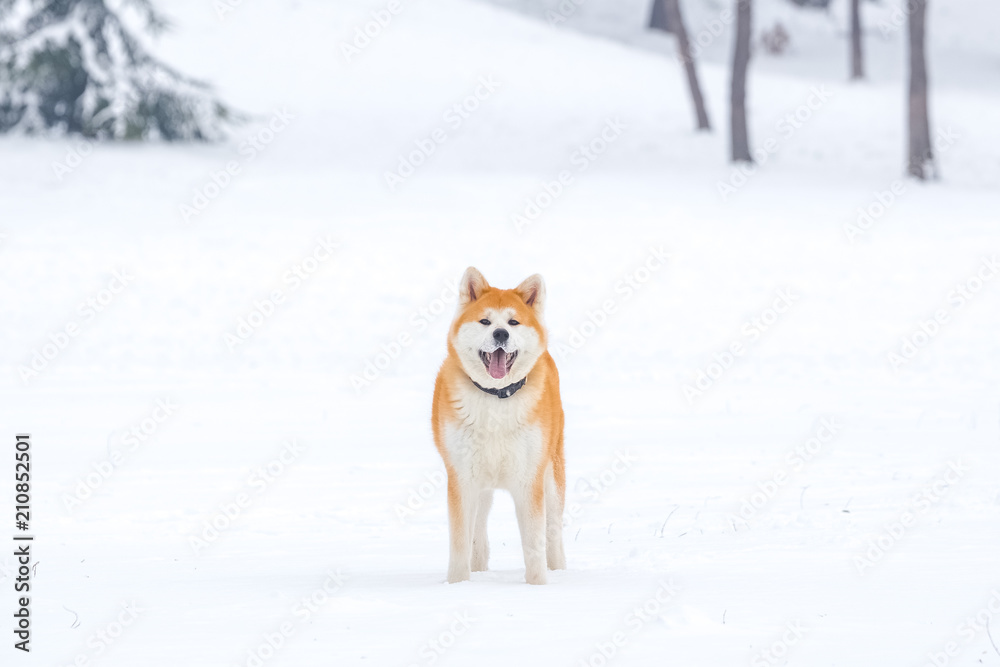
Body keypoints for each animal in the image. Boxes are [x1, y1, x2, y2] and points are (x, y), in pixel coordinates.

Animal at [432, 266, 568, 584]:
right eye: (485, 321)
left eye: (513, 322)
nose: (501, 333)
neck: (495, 397)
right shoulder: (462, 479)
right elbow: (460, 543)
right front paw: (457, 585)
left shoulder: (529, 479)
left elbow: (534, 545)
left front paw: (538, 586)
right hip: (480, 485)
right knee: (478, 530)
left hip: (553, 474)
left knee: (553, 532)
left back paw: (559, 571)